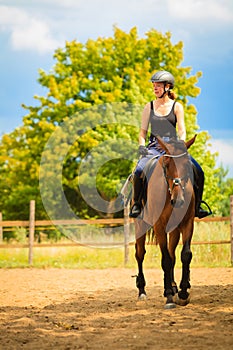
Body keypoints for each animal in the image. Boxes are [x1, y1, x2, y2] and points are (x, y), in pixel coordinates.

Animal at [134, 135, 196, 308]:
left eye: (186, 165)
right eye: (167, 166)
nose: (179, 200)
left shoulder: (187, 223)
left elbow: (185, 255)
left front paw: (183, 292)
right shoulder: (159, 226)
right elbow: (166, 260)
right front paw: (169, 296)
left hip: (174, 229)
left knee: (172, 253)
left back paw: (173, 286)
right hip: (140, 226)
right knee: (140, 254)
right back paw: (142, 291)